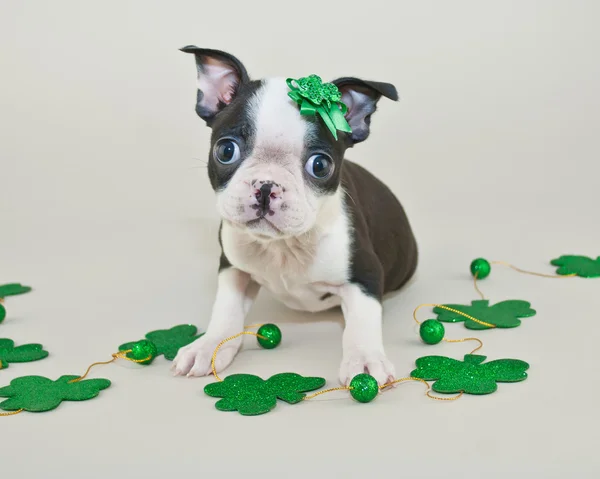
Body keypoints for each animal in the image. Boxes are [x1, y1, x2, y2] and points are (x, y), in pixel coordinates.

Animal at [173, 47, 418, 386]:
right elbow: (226, 308)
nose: (266, 186)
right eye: (225, 151)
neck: (283, 246)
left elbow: (362, 321)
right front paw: (209, 344)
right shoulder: (234, 267)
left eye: (320, 165)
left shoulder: (365, 275)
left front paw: (365, 359)